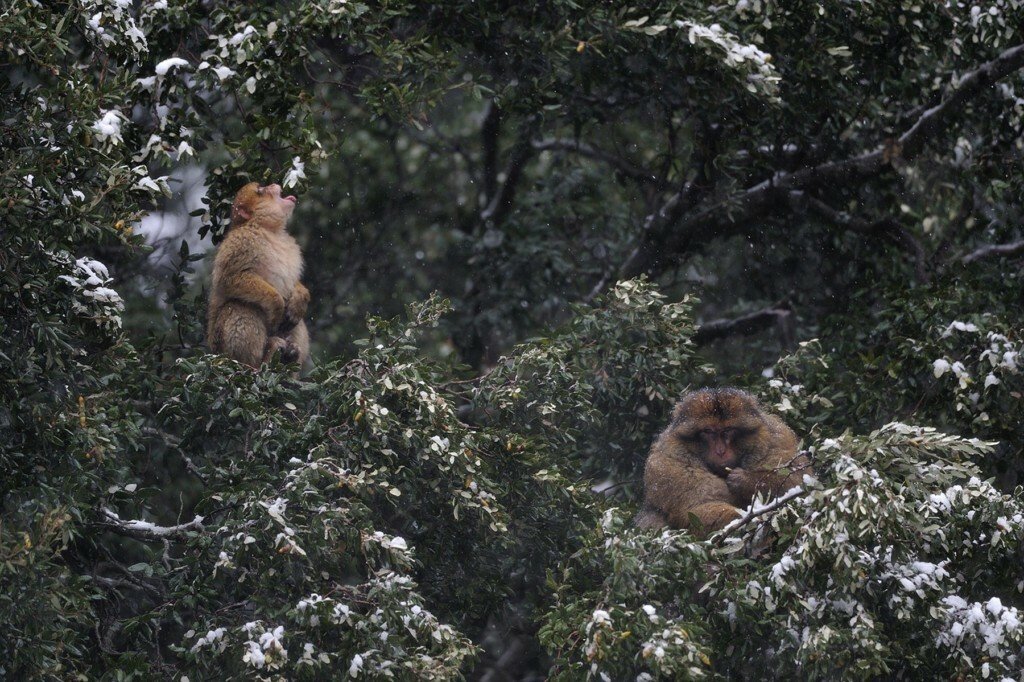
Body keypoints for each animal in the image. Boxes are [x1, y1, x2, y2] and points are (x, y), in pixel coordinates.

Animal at [206, 182, 310, 369]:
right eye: (261, 190)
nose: (274, 184)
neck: (269, 230)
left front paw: (300, 297)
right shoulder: (241, 242)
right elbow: (228, 280)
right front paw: (276, 304)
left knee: (296, 322)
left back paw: (288, 358)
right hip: (223, 349)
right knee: (240, 307)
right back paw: (262, 362)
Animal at [636, 388, 812, 537]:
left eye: (728, 430)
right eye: (708, 431)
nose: (720, 451)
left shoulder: (778, 441)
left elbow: (796, 482)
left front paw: (745, 480)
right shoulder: (668, 466)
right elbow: (696, 509)